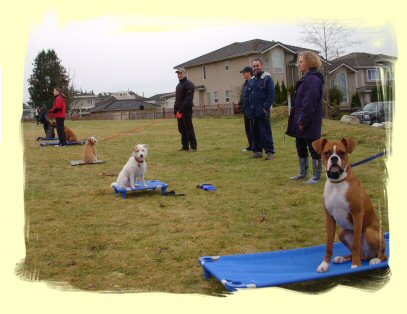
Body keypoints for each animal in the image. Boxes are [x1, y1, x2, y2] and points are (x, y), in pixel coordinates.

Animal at [312, 137, 388, 272]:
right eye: (327, 153)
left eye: (342, 153)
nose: (334, 158)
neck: (337, 183)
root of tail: (367, 255)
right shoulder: (329, 218)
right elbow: (329, 245)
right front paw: (325, 264)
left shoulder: (357, 215)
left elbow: (356, 244)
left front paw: (355, 265)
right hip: (342, 233)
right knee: (356, 252)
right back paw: (343, 258)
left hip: (370, 232)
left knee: (383, 254)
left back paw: (375, 260)